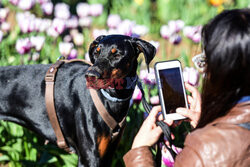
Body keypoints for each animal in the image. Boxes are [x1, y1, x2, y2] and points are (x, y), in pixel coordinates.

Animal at [0, 34, 155, 166]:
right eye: (96, 52)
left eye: (117, 54)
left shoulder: (108, 155)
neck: (110, 98)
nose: (90, 75)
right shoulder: (90, 157)